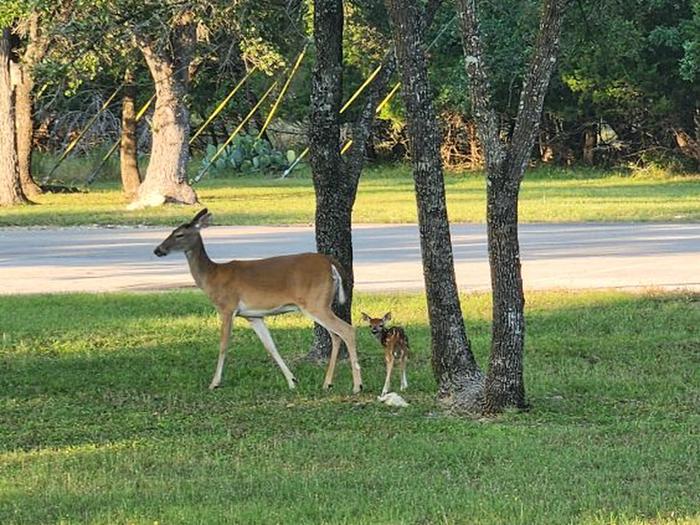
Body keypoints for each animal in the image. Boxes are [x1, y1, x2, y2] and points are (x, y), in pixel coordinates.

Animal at [153, 208, 362, 394]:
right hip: (320, 304)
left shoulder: (227, 308)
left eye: (179, 234)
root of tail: (331, 263)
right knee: (336, 335)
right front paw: (292, 381)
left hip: (315, 303)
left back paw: (357, 386)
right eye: (171, 231)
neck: (213, 277)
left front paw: (214, 383)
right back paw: (327, 383)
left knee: (347, 330)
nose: (158, 250)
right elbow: (270, 347)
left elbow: (223, 345)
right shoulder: (253, 316)